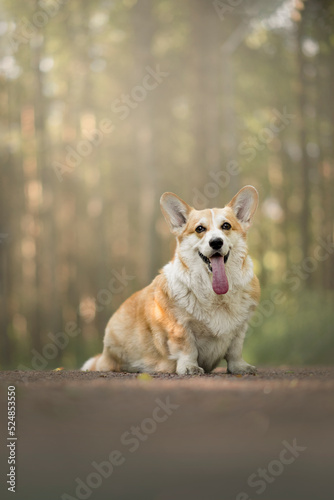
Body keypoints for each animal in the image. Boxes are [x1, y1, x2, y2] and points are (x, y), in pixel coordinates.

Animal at [82, 186, 260, 374]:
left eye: (226, 226)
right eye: (199, 229)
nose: (216, 242)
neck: (214, 293)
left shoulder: (240, 328)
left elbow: (235, 350)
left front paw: (240, 367)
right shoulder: (179, 325)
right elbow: (187, 347)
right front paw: (189, 367)